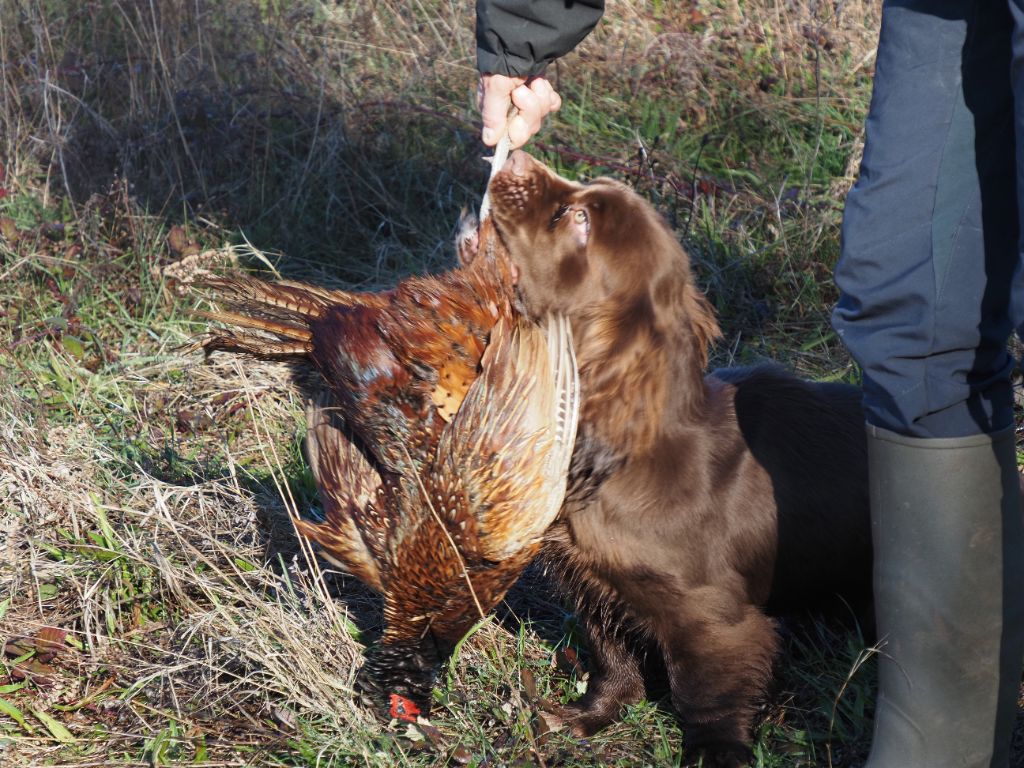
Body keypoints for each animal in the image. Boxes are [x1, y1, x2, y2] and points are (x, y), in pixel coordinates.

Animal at [487, 151, 872, 768]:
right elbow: (612, 658)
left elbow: (704, 695)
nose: (517, 155)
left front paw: (713, 754)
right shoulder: (595, 583)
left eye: (579, 220)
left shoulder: (716, 618)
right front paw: (584, 718)